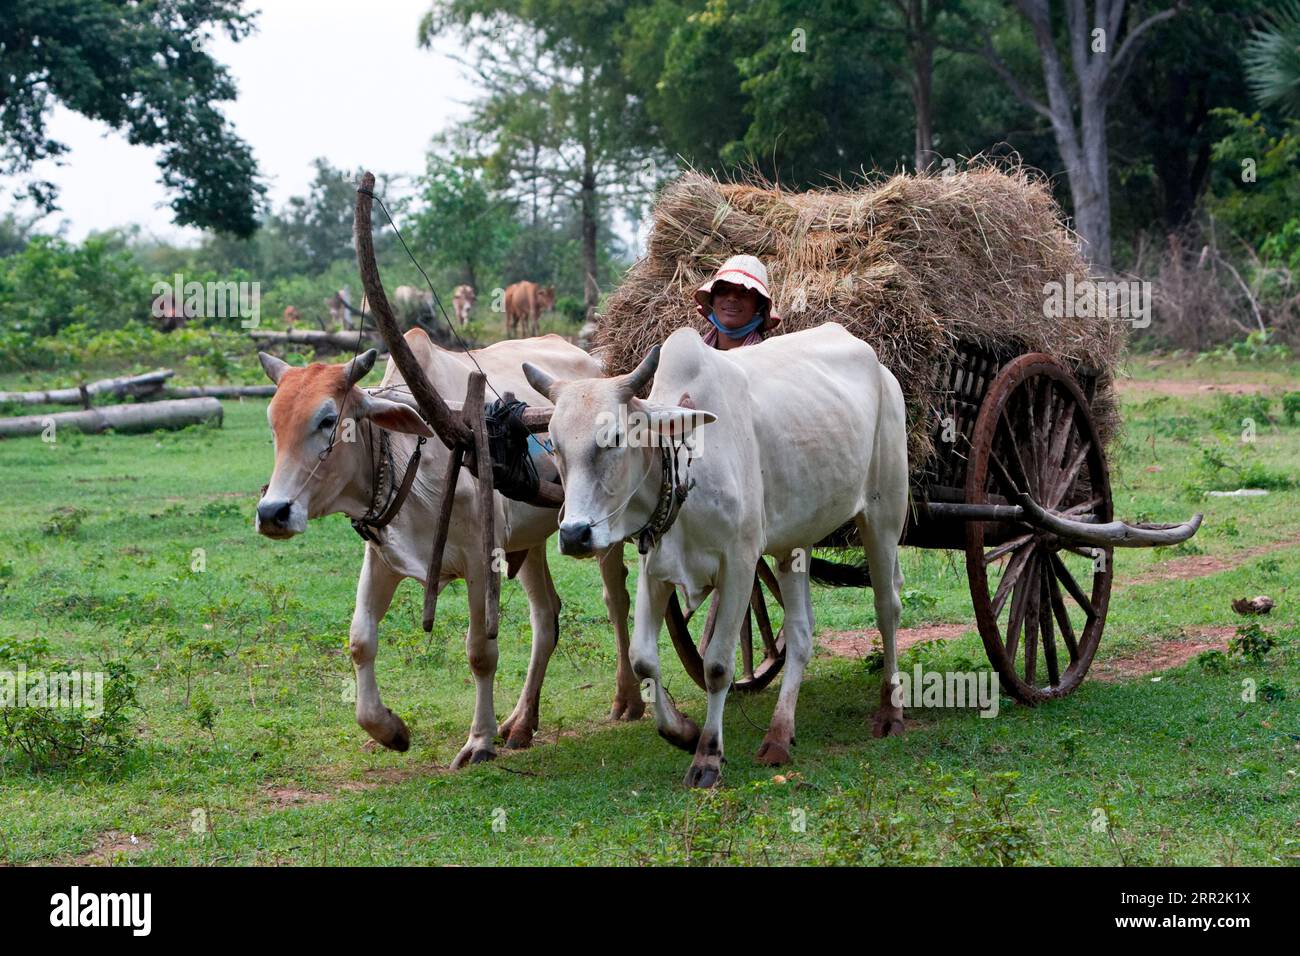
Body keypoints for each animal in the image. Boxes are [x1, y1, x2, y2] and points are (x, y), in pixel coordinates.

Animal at [522, 325, 909, 790]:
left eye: (613, 438)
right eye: (555, 446)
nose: (574, 534)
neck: (686, 465)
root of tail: (877, 364)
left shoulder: (740, 566)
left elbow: (719, 666)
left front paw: (707, 755)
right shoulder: (655, 569)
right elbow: (642, 658)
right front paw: (683, 732)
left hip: (884, 514)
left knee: (887, 608)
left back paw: (891, 711)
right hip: (794, 542)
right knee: (800, 634)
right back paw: (778, 735)